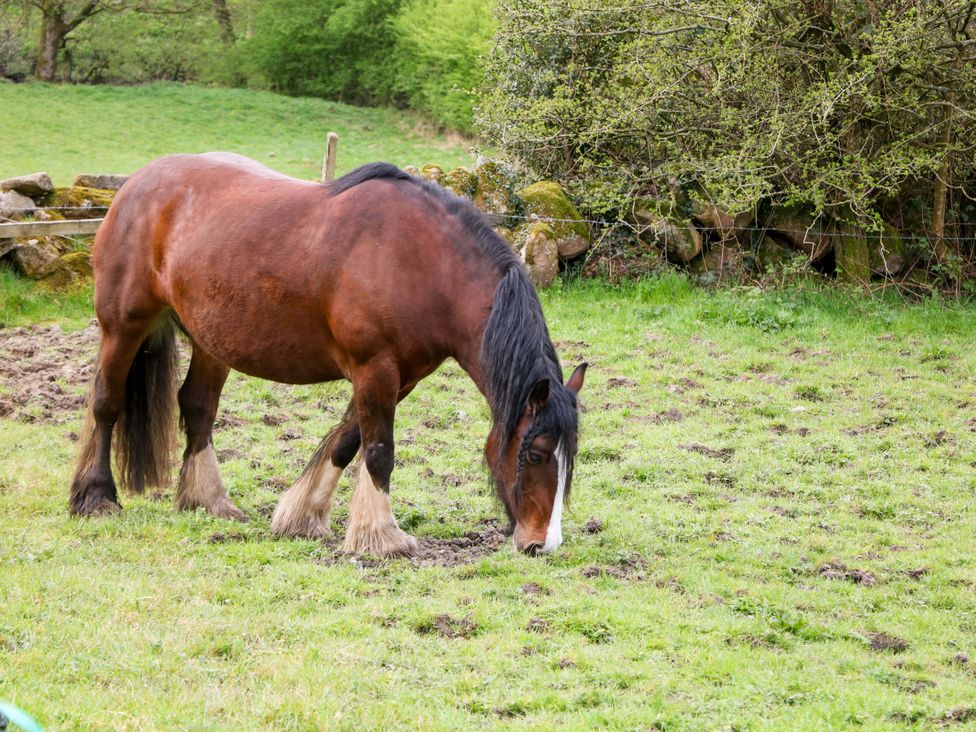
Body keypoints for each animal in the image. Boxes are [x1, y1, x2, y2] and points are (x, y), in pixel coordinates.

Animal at [68, 152, 586, 557]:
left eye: (570, 457)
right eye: (536, 454)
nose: (543, 544)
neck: (422, 263)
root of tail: (136, 185)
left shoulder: (399, 377)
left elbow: (346, 441)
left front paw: (302, 515)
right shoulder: (374, 368)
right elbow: (379, 451)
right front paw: (381, 538)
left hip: (211, 341)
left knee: (197, 408)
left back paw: (207, 501)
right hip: (123, 326)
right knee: (107, 403)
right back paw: (96, 497)